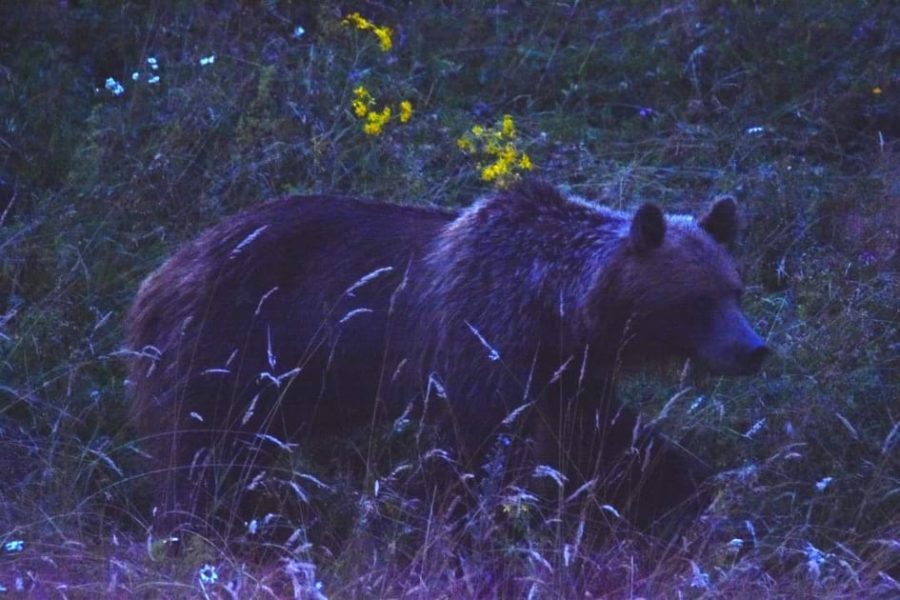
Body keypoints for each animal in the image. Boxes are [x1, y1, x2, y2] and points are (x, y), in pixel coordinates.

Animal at [128, 178, 768, 536]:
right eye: (697, 300)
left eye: (735, 289)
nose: (753, 350)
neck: (559, 305)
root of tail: (162, 273)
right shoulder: (482, 344)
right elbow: (475, 457)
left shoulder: (564, 372)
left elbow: (610, 441)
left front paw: (696, 495)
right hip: (227, 348)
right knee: (199, 456)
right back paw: (195, 529)